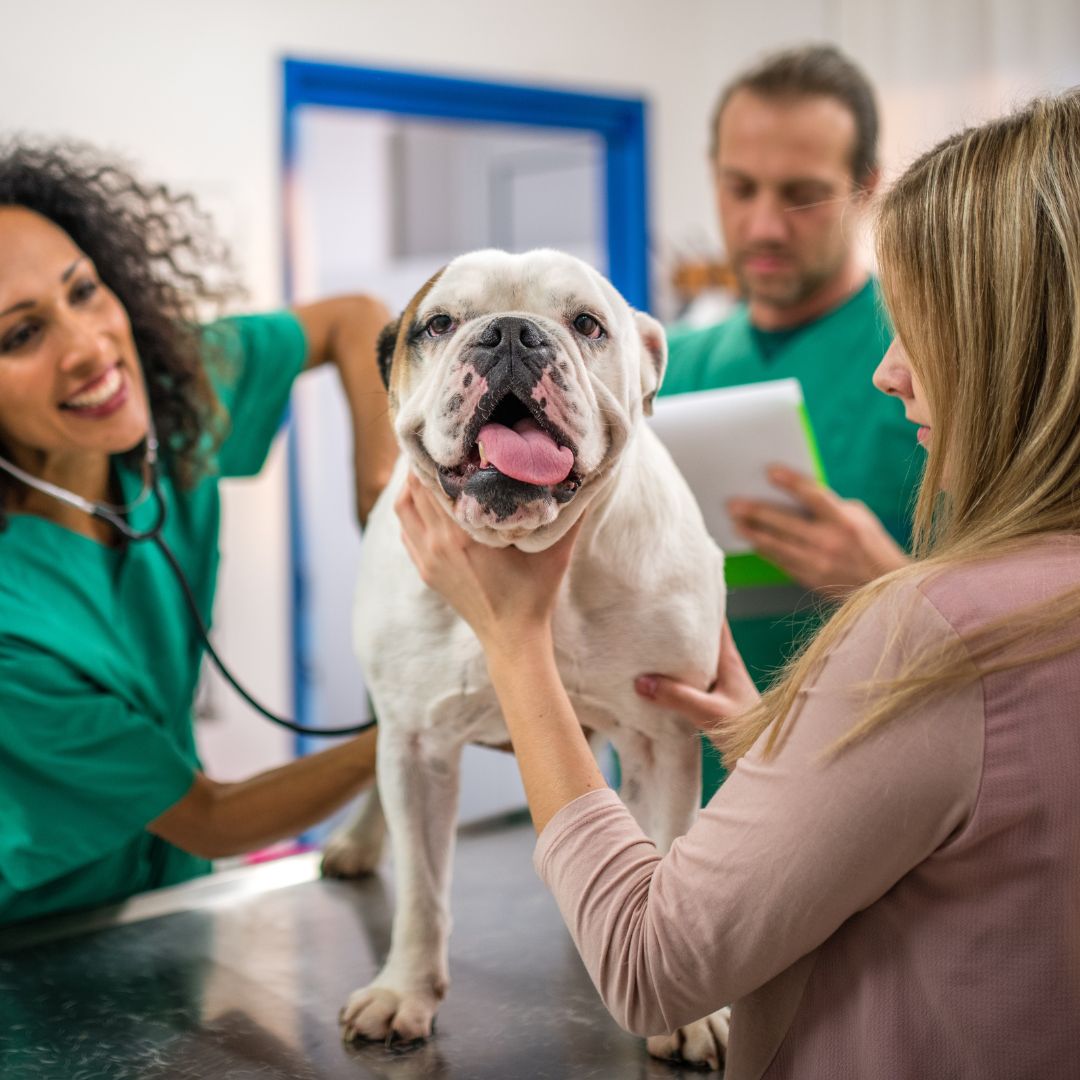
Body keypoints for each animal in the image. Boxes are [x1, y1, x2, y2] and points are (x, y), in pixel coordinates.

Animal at [319, 248, 725, 1067]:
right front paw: (404, 991)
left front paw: (689, 1014)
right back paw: (358, 841)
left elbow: (668, 842)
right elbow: (422, 890)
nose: (510, 333)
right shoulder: (416, 745)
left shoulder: (663, 734)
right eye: (439, 324)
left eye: (588, 325)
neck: (534, 554)